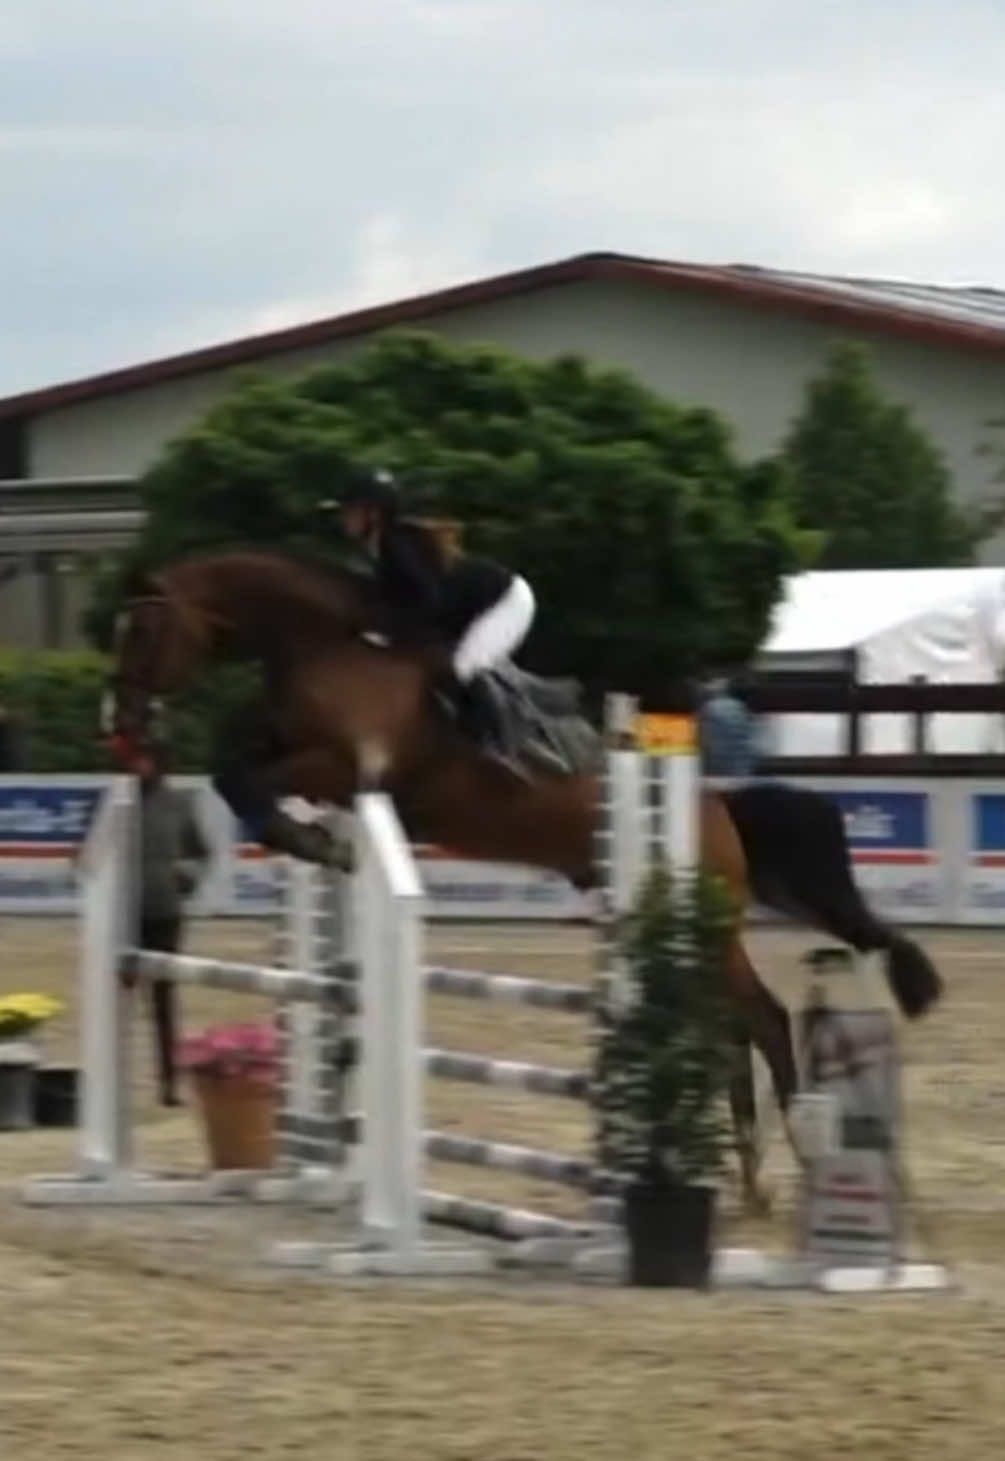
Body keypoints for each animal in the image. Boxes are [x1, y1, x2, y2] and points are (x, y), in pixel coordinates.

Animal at [104, 546, 942, 1209]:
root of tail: (715, 806)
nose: (121, 727)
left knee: (761, 1018)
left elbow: (247, 779)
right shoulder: (298, 751)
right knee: (732, 1025)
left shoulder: (347, 767)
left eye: (142, 629)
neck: (325, 646)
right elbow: (235, 768)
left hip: (697, 916)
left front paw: (309, 839)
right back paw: (752, 1179)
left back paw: (794, 1159)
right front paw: (311, 840)